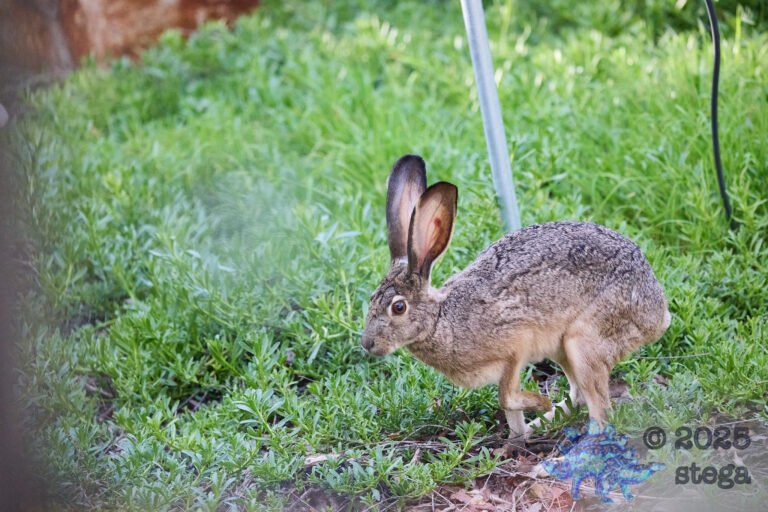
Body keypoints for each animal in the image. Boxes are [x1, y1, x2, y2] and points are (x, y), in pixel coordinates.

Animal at [361, 154, 671, 440]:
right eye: (372, 300)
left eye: (398, 307)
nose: (367, 344)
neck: (440, 321)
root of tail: (658, 313)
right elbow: (508, 408)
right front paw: (518, 434)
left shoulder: (515, 346)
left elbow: (506, 397)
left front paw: (538, 403)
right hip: (563, 349)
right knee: (578, 394)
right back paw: (541, 425)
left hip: (584, 341)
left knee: (599, 407)